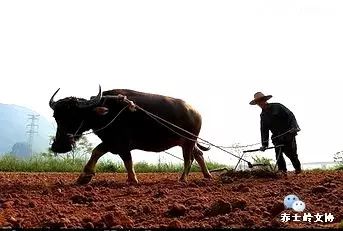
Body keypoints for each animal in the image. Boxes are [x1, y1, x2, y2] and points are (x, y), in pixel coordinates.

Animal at [49, 85, 212, 185]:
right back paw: (207, 175)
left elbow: (126, 159)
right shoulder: (111, 142)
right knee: (198, 154)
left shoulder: (119, 143)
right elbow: (96, 152)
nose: (59, 146)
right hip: (187, 141)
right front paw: (84, 177)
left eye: (74, 116)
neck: (107, 112)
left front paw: (132, 179)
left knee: (188, 158)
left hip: (189, 141)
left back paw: (183, 179)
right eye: (56, 117)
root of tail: (196, 113)